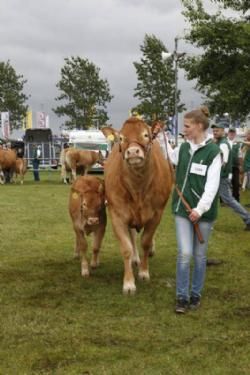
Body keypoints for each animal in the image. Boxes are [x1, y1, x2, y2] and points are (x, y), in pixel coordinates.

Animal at [102, 117, 173, 294]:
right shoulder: (117, 215)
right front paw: (128, 283)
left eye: (146, 135)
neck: (138, 188)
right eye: (121, 138)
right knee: (133, 235)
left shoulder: (157, 214)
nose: (133, 152)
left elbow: (146, 242)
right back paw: (135, 258)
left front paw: (143, 273)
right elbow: (126, 247)